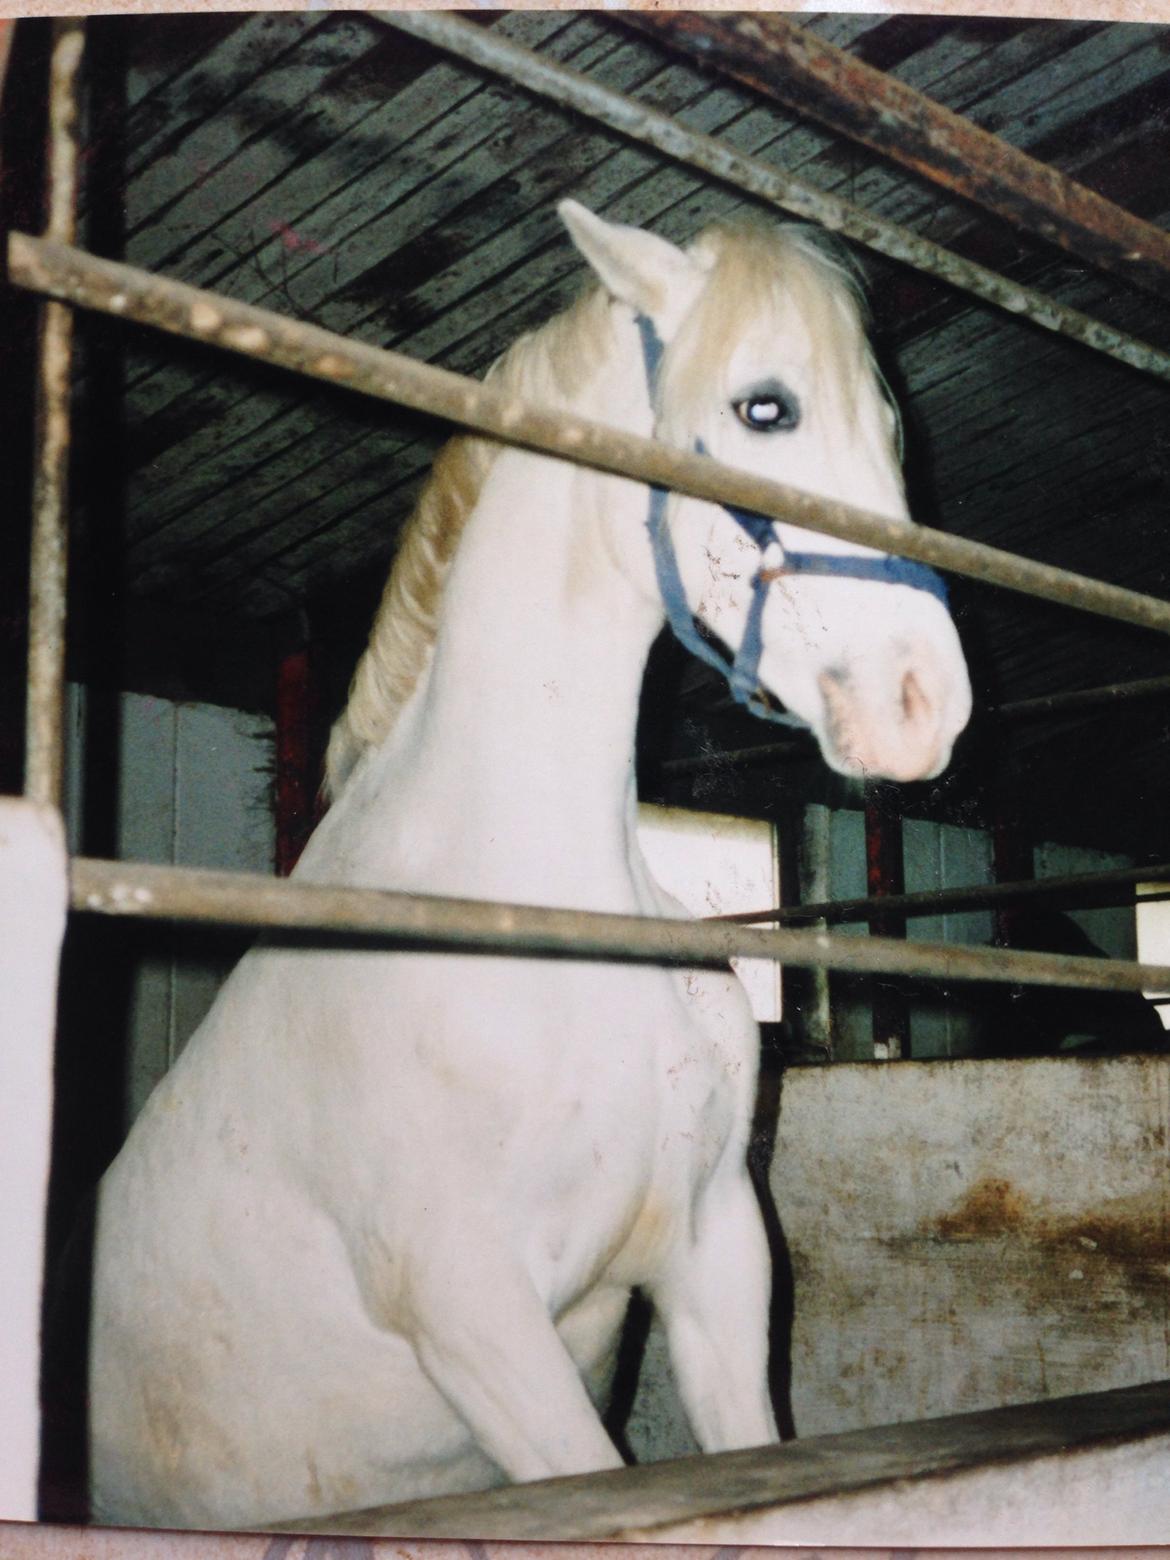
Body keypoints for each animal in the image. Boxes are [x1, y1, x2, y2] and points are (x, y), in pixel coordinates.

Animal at [87, 200, 972, 1529]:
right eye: (766, 409)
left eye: (891, 423)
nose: (928, 704)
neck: (531, 897)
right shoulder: (474, 1314)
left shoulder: (714, 1254)